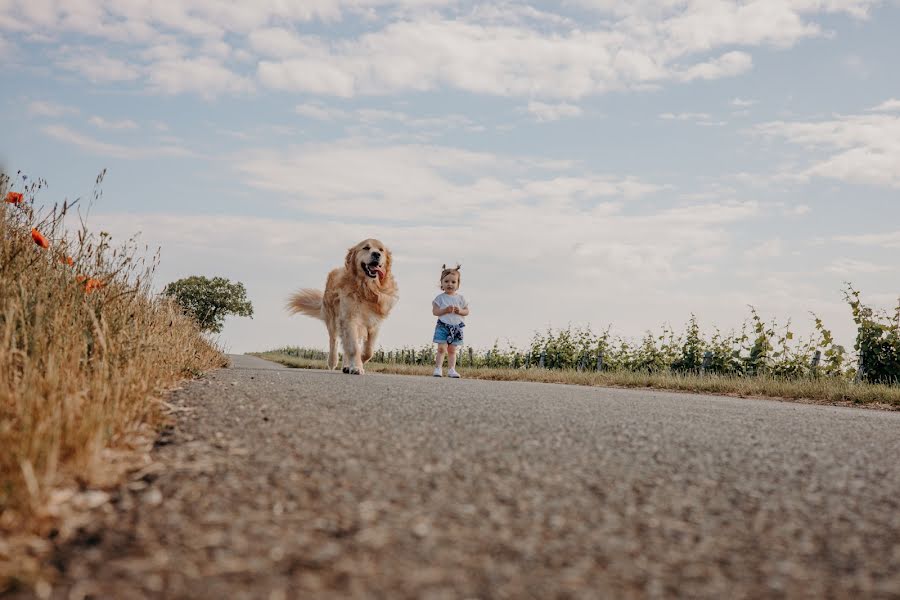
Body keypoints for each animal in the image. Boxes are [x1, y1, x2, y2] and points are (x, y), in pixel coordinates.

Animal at [286, 239, 400, 376]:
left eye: (381, 250)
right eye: (366, 248)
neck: (366, 289)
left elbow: (368, 351)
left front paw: (358, 361)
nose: (376, 254)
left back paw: (346, 365)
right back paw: (333, 362)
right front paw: (356, 366)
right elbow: (353, 347)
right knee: (333, 341)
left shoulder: (374, 323)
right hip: (333, 320)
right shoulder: (349, 318)